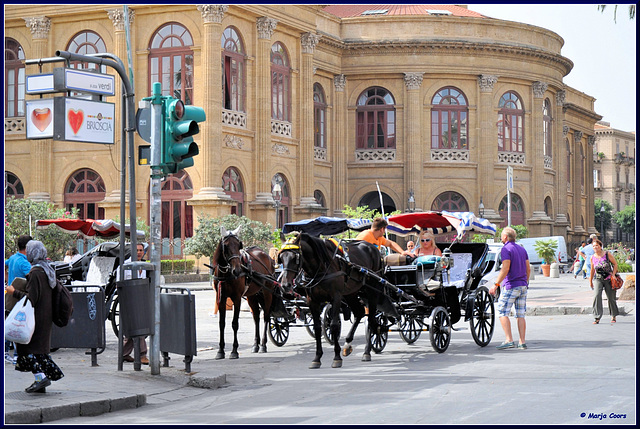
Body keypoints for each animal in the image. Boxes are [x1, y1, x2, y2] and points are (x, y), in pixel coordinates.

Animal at [211, 226, 282, 360]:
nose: (237, 270)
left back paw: (263, 344)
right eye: (226, 246)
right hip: (252, 295)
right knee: (256, 317)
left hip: (267, 292)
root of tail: (267, 256)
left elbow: (235, 324)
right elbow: (221, 324)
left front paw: (234, 351)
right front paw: (220, 350)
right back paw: (256, 344)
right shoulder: (221, 298)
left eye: (239, 245)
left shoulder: (237, 298)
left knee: (266, 316)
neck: (225, 274)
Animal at [280, 231, 396, 368]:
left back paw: (367, 352)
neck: (321, 267)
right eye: (281, 258)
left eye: (295, 258)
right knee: (359, 312)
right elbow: (318, 327)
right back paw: (347, 344)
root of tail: (375, 249)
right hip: (351, 293)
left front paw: (336, 357)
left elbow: (334, 325)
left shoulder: (336, 297)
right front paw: (317, 358)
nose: (285, 285)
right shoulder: (312, 300)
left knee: (371, 319)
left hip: (372, 291)